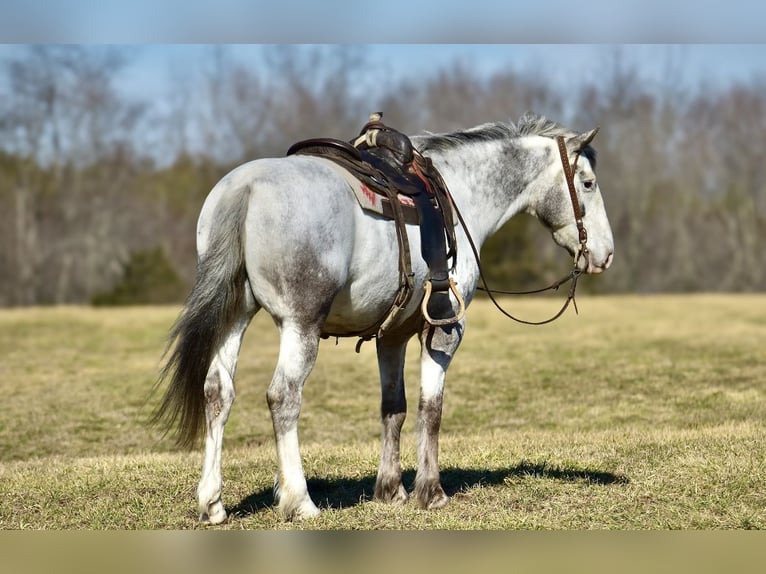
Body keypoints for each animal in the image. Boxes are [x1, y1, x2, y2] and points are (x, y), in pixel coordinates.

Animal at [156, 112, 616, 528]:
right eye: (588, 184)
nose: (606, 254)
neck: (461, 194)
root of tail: (245, 187)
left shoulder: (391, 336)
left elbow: (393, 408)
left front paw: (390, 490)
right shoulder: (444, 329)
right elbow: (431, 408)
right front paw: (430, 492)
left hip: (235, 315)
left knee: (218, 393)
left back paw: (212, 503)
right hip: (300, 326)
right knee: (283, 397)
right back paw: (299, 500)